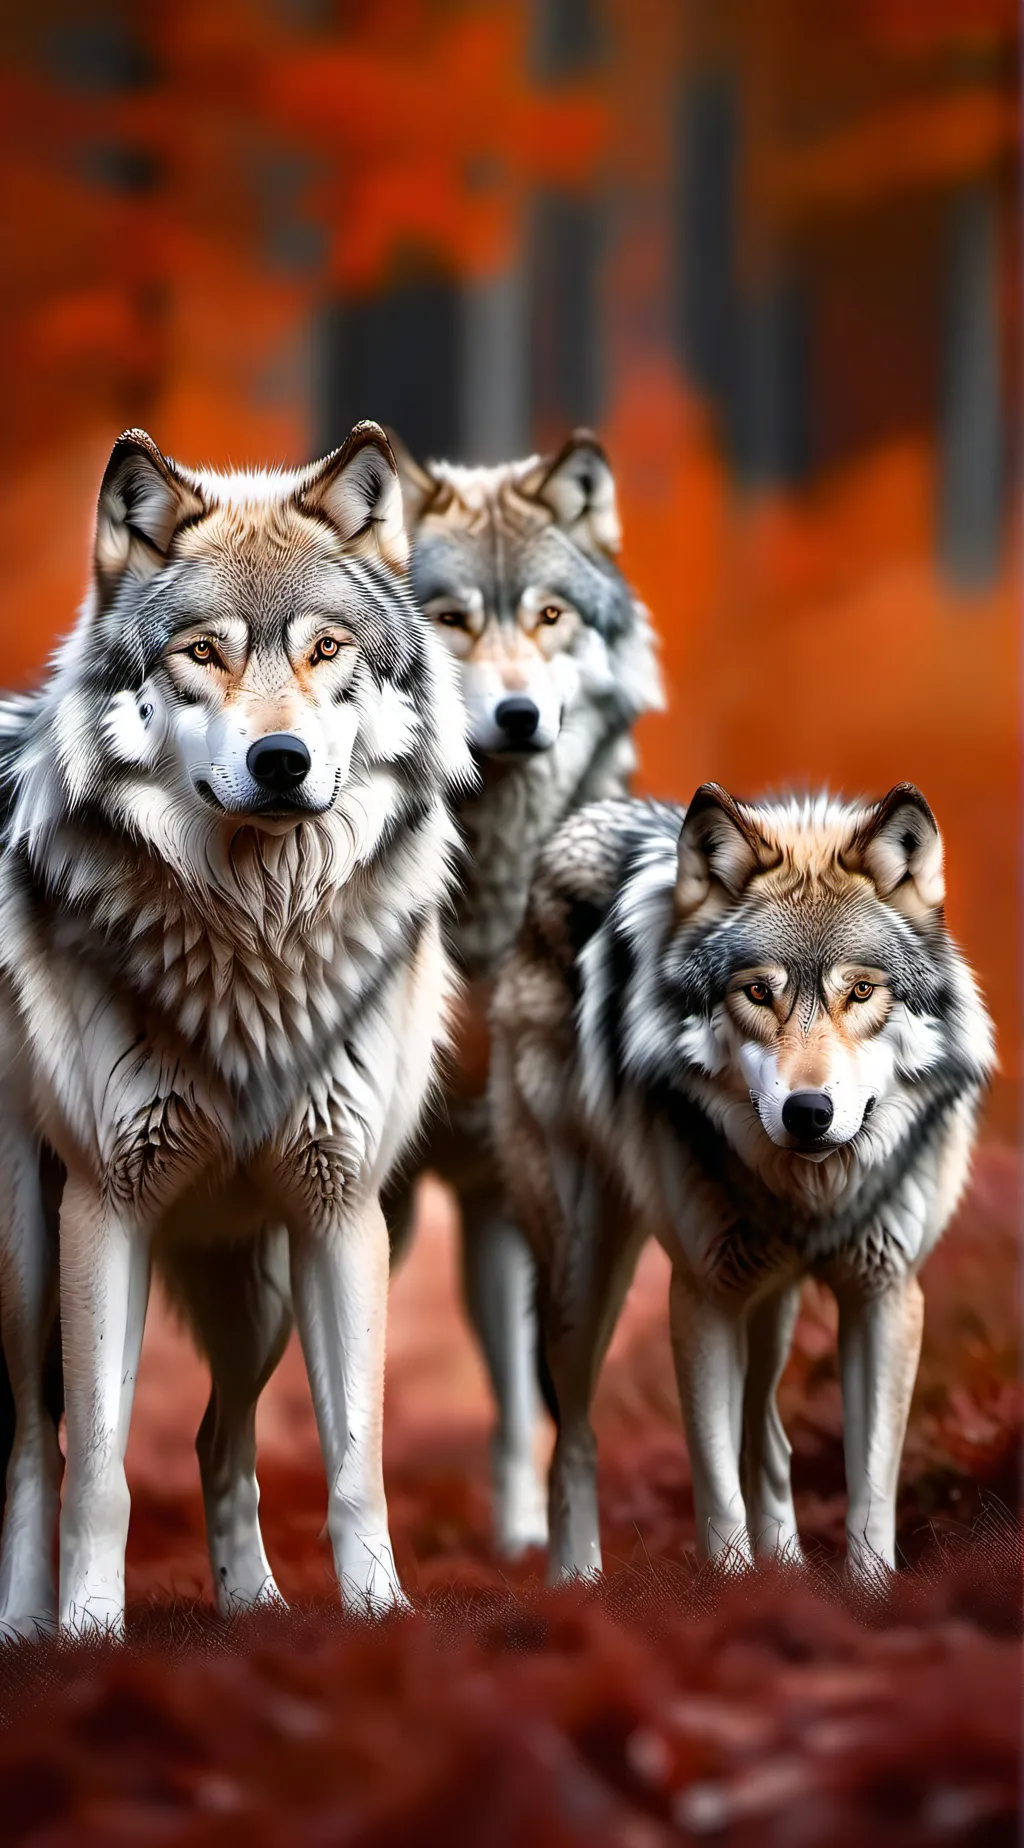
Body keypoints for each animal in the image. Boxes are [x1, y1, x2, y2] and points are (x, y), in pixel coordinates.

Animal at [0, 421, 471, 1636]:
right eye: (202, 654)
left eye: (327, 650)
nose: (280, 762)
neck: (256, 939)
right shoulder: (104, 1208)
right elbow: (101, 1468)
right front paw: (89, 1635)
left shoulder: (342, 1212)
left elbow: (355, 1462)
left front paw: (379, 1619)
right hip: (28, 1266)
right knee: (33, 1442)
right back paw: (26, 1622)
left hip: (254, 1289)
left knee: (222, 1433)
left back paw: (253, 1608)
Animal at [490, 782, 995, 1580]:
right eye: (758, 992)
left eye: (861, 992)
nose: (810, 1112)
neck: (811, 1193)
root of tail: (579, 824)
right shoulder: (702, 1296)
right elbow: (715, 1483)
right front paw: (729, 1592)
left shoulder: (885, 1295)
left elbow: (871, 1484)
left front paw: (864, 1593)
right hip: (584, 1272)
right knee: (573, 1437)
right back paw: (575, 1579)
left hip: (771, 1302)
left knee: (769, 1435)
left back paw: (784, 1567)